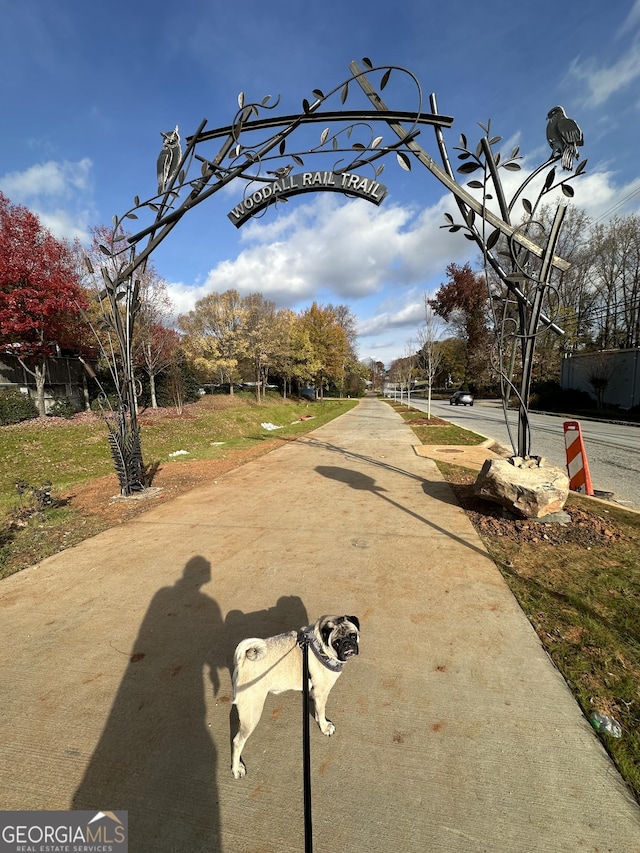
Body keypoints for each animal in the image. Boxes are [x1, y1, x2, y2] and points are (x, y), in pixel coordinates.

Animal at [231, 612, 360, 780]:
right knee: (237, 742)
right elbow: (322, 711)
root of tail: (244, 660)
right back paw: (236, 768)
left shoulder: (317, 692)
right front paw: (325, 726)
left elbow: (317, 707)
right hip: (251, 714)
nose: (348, 644)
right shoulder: (322, 692)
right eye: (336, 642)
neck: (320, 645)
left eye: (353, 635)